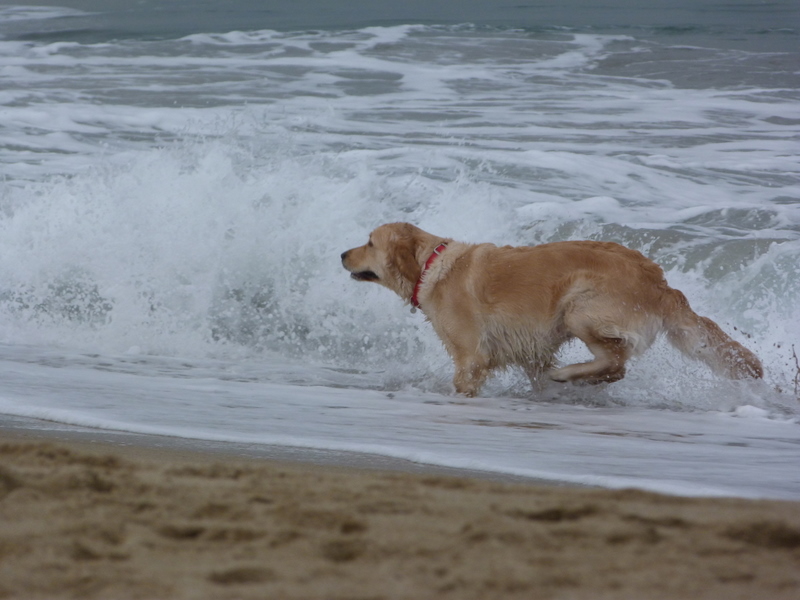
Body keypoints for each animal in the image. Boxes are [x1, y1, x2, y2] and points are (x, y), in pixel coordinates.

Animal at [340, 223, 764, 396]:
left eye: (369, 242)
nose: (342, 253)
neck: (431, 266)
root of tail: (661, 283)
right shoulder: (531, 351)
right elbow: (537, 375)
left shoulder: (472, 357)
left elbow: (465, 381)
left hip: (579, 308)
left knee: (616, 363)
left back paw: (570, 375)